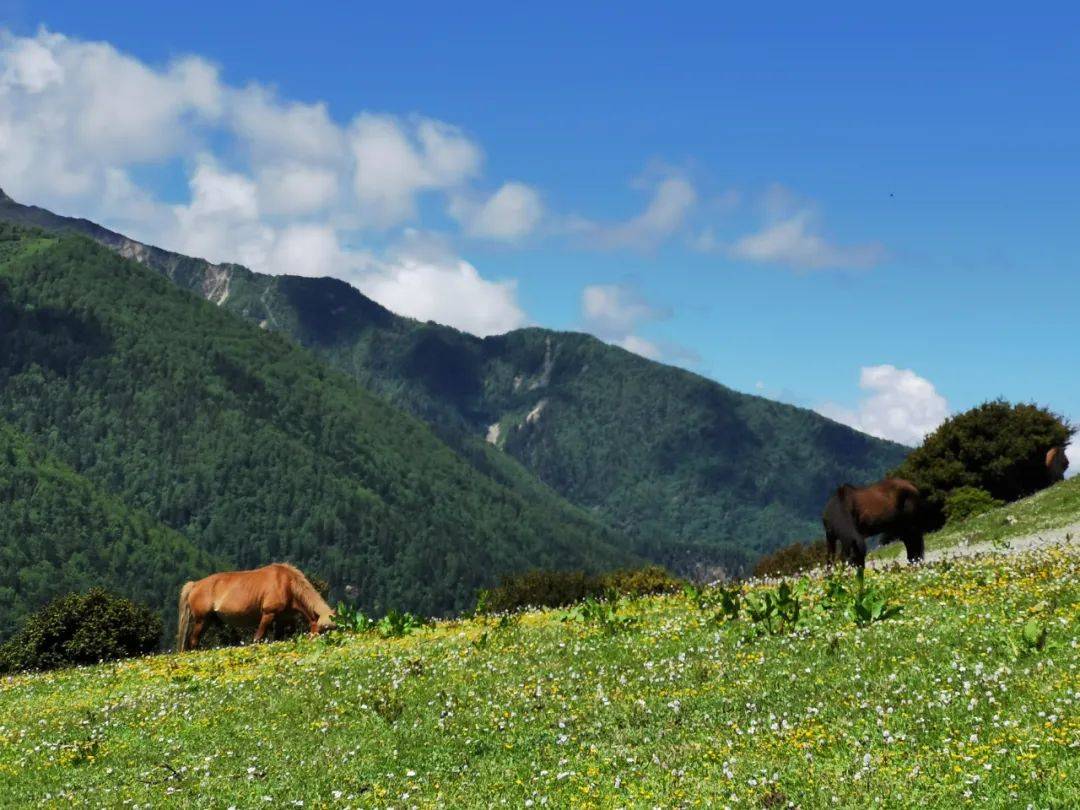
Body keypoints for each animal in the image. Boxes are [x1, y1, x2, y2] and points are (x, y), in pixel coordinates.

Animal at [176, 563, 336, 651]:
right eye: (321, 630)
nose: (324, 647)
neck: (286, 583)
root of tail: (195, 584)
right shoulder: (268, 615)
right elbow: (258, 638)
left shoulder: (284, 620)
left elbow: (279, 639)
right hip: (201, 621)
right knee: (193, 641)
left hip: (207, 621)